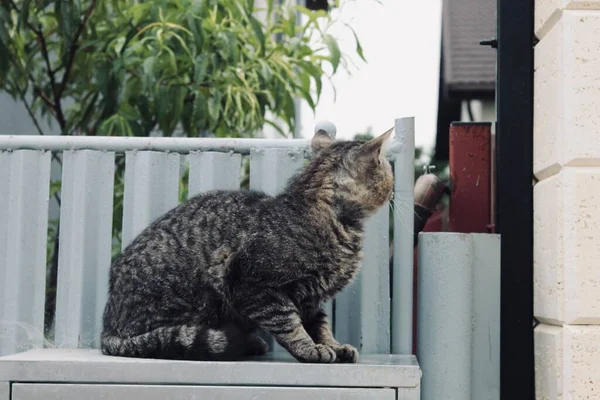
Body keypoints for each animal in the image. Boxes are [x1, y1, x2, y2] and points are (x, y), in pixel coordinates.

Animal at [101, 127, 396, 362]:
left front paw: (334, 345)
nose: (394, 189)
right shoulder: (254, 284)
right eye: (388, 169)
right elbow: (289, 323)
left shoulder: (311, 298)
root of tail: (108, 328)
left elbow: (321, 325)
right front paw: (310, 349)